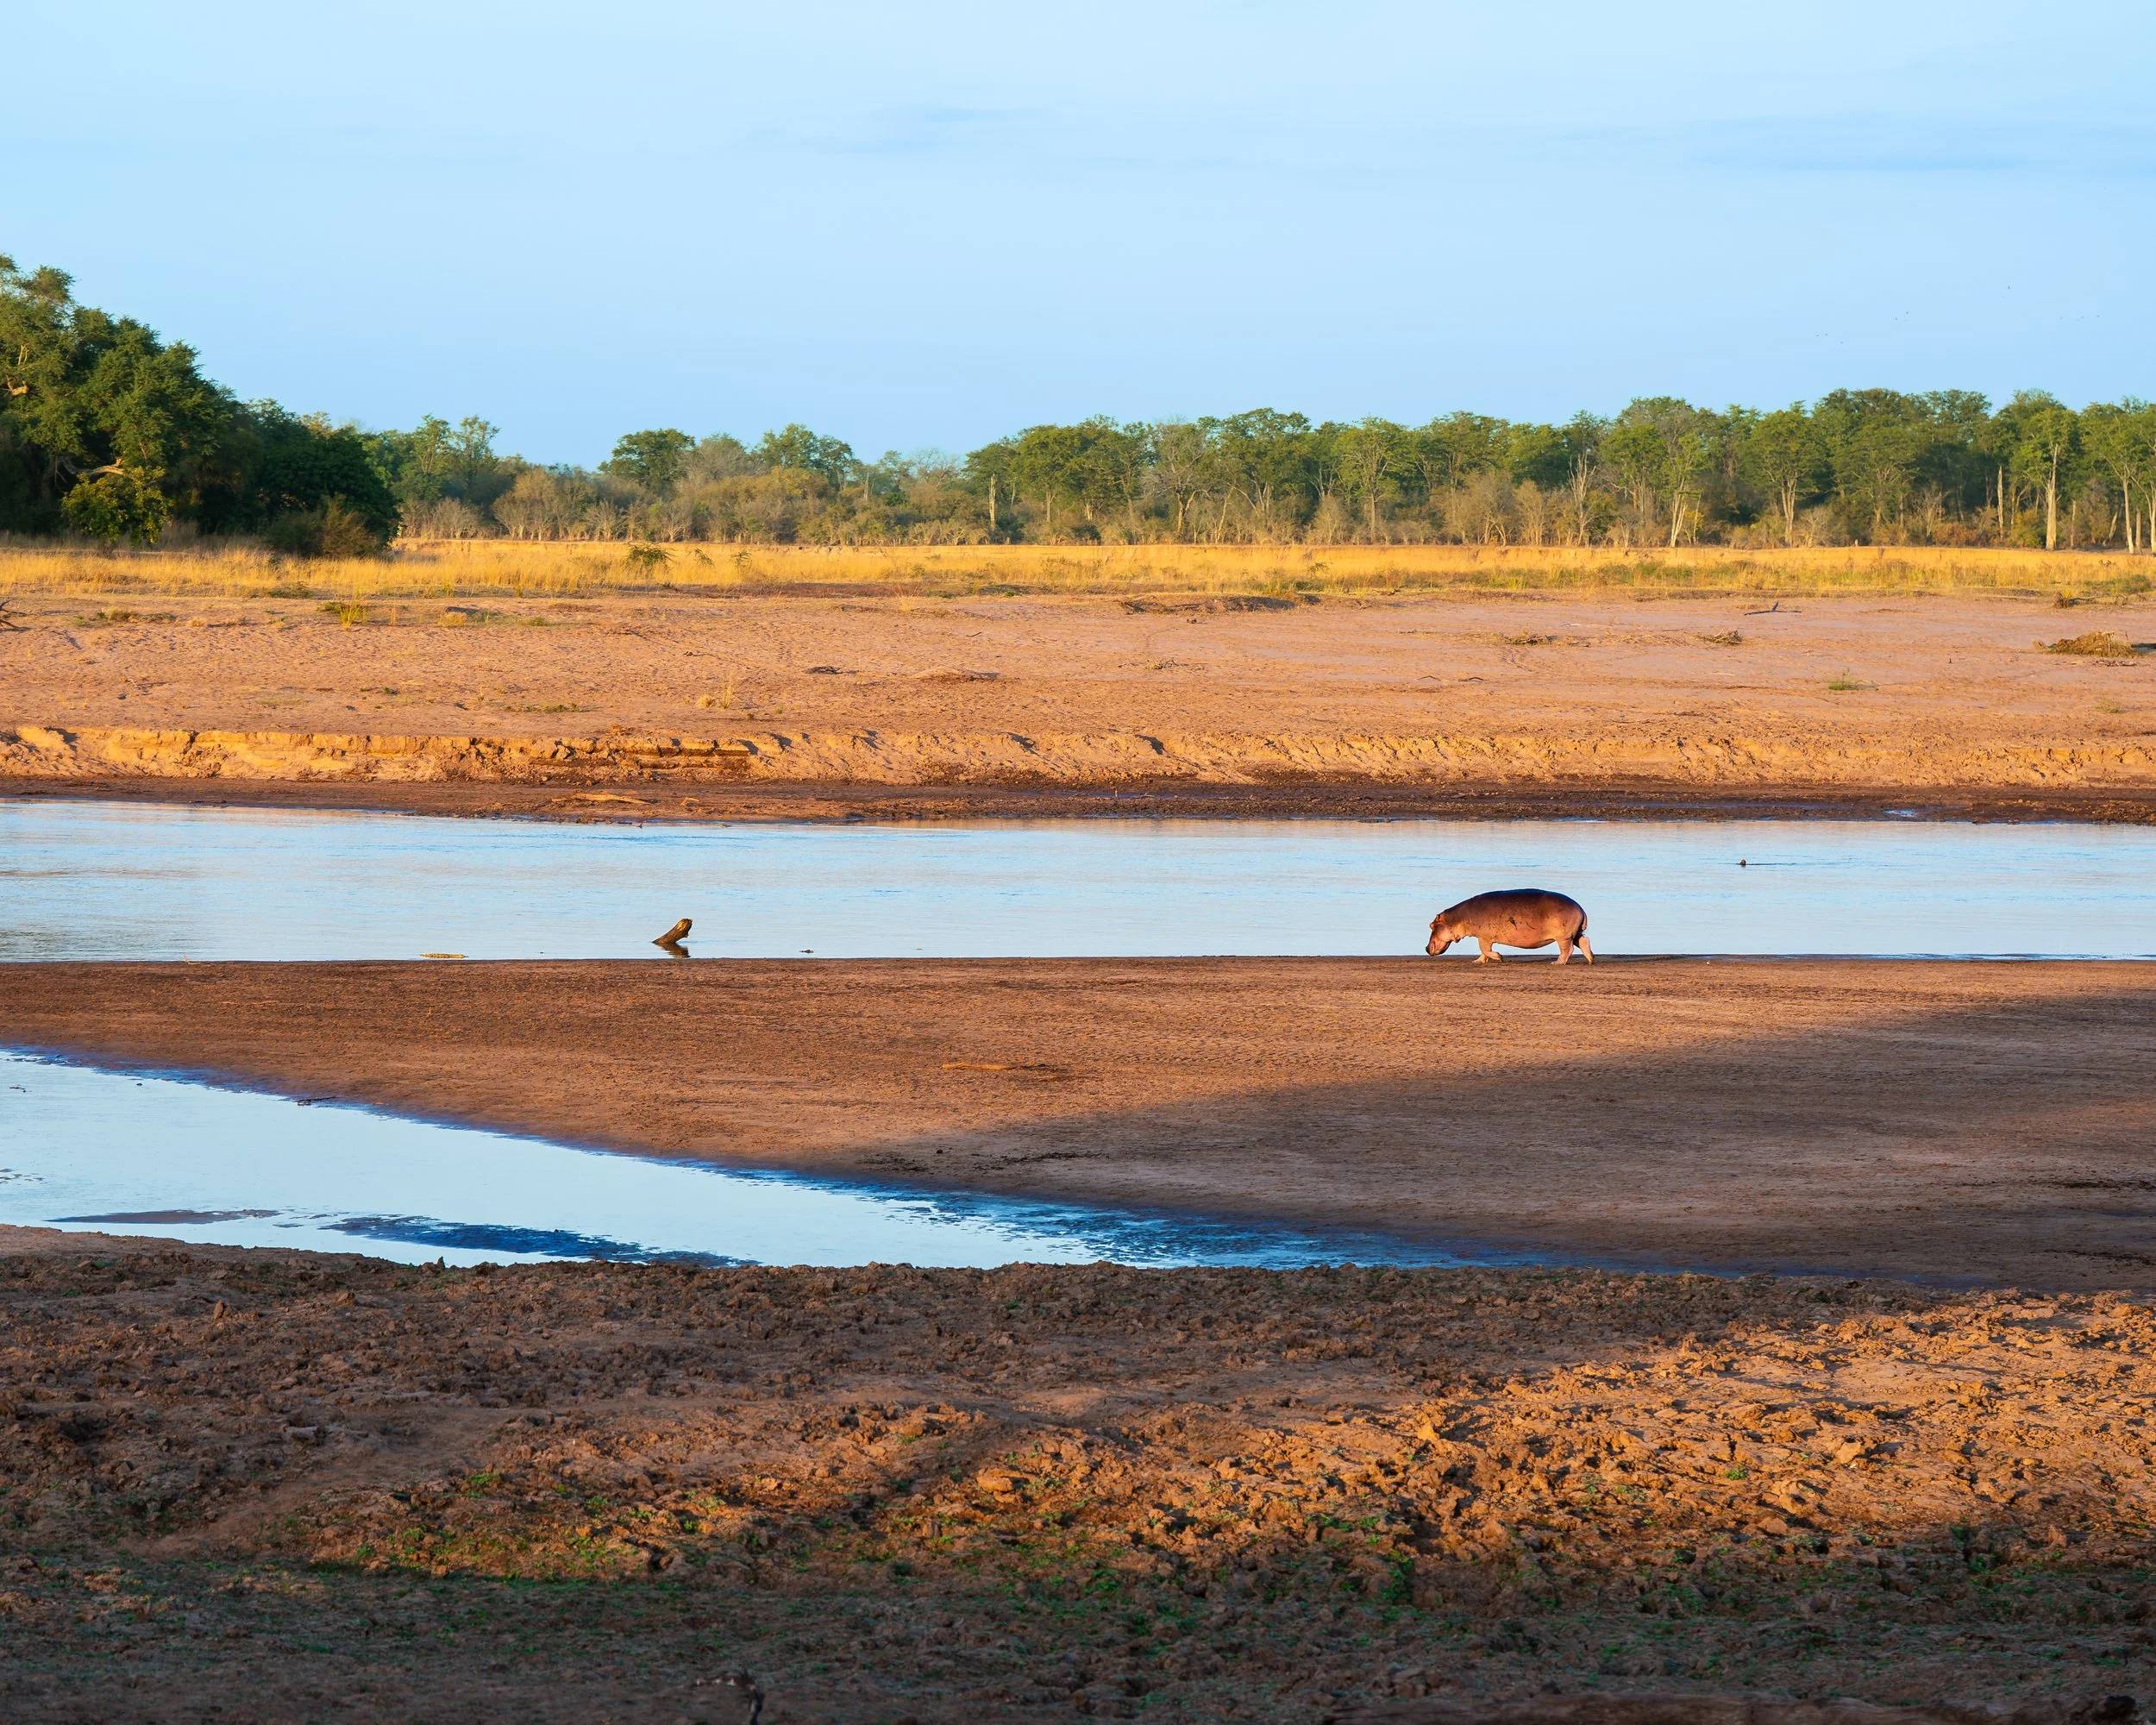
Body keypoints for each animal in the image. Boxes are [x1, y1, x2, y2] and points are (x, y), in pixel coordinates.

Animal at [1426, 890, 1593, 964]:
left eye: (1431, 925)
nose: (1426, 948)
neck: (1459, 918)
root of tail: (1580, 908)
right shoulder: (1483, 937)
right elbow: (1483, 952)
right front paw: (1478, 961)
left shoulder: (1484, 936)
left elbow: (1484, 949)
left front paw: (1499, 958)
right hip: (1575, 933)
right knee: (1584, 941)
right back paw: (1590, 959)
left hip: (1563, 936)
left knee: (1567, 950)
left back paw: (1557, 963)